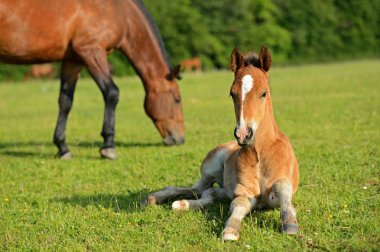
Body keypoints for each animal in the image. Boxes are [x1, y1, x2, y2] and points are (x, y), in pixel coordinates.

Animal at [0, 0, 186, 158]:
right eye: (177, 99)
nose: (180, 139)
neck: (119, 11)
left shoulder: (73, 60)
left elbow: (65, 102)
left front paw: (62, 148)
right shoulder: (91, 51)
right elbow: (111, 92)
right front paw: (108, 146)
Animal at [145, 46, 300, 241]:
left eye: (264, 93)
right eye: (232, 93)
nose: (243, 134)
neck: (260, 154)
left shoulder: (281, 184)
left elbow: (283, 191)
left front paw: (290, 223)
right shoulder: (243, 192)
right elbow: (239, 205)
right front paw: (230, 230)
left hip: (224, 188)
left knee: (209, 193)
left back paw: (181, 204)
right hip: (211, 168)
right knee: (196, 188)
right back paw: (158, 199)